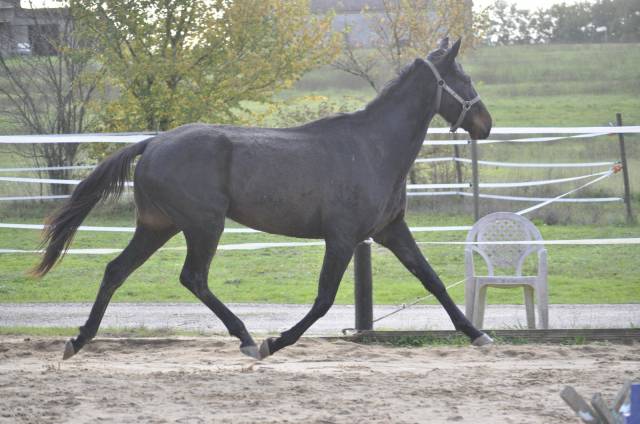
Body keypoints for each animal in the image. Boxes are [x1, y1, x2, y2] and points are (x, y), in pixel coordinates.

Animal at [33, 37, 493, 360]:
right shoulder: (342, 238)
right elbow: (324, 299)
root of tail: (153, 143)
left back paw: (79, 340)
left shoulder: (390, 231)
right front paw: (276, 341)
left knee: (116, 270)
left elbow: (432, 280)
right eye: (465, 80)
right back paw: (248, 339)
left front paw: (479, 335)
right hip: (203, 224)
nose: (485, 124)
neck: (373, 148)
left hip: (158, 226)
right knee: (192, 277)